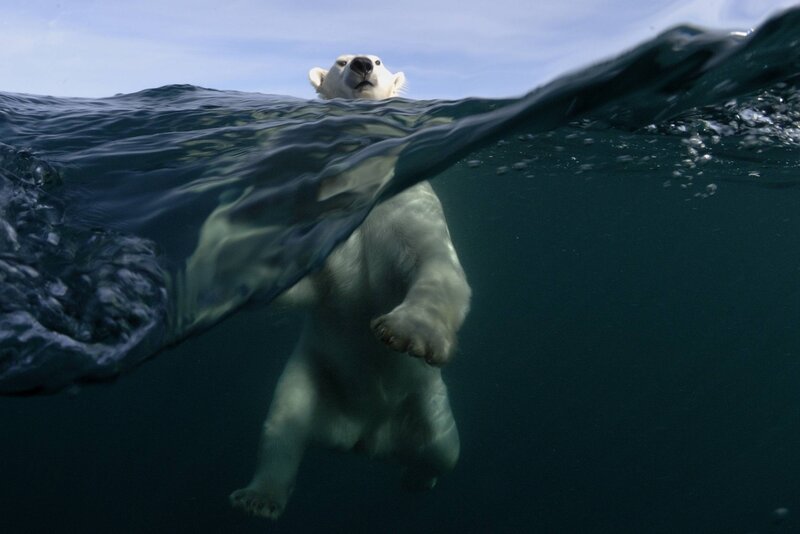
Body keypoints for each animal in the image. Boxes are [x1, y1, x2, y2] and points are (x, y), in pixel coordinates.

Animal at [229, 55, 471, 520]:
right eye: (340, 61)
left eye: (378, 60)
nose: (360, 64)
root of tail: (365, 436)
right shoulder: (323, 218)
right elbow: (307, 285)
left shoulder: (406, 205)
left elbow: (434, 262)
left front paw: (408, 332)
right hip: (312, 375)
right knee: (283, 426)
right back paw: (258, 497)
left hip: (426, 402)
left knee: (443, 450)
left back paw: (416, 479)